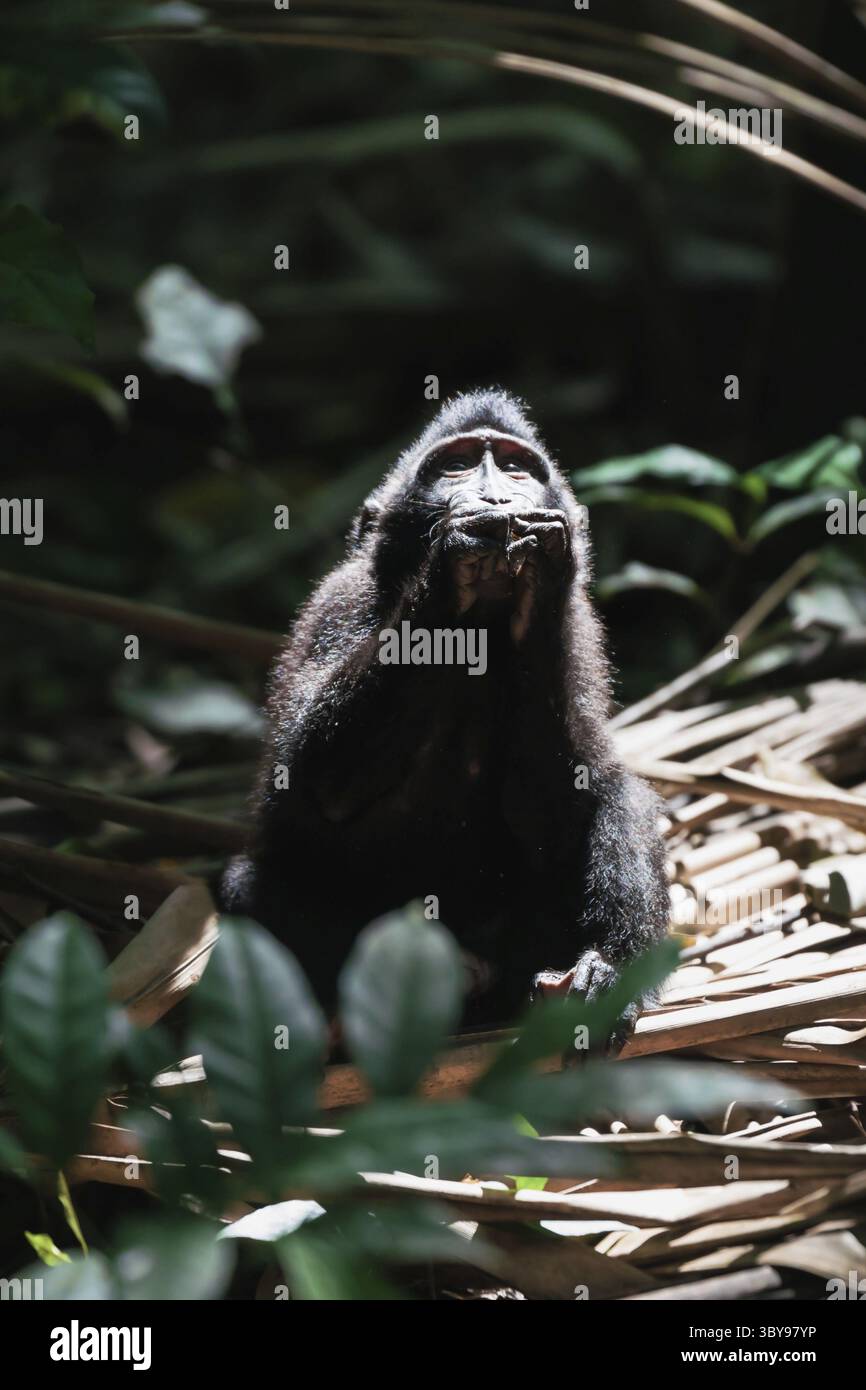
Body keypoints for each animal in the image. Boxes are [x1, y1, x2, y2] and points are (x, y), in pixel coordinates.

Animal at [222, 389, 669, 1045]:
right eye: (456, 466)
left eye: (515, 468)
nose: (495, 495)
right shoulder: (339, 601)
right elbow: (315, 784)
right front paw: (452, 562)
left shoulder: (580, 630)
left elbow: (566, 807)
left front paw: (541, 576)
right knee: (247, 886)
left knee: (623, 797)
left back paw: (602, 976)